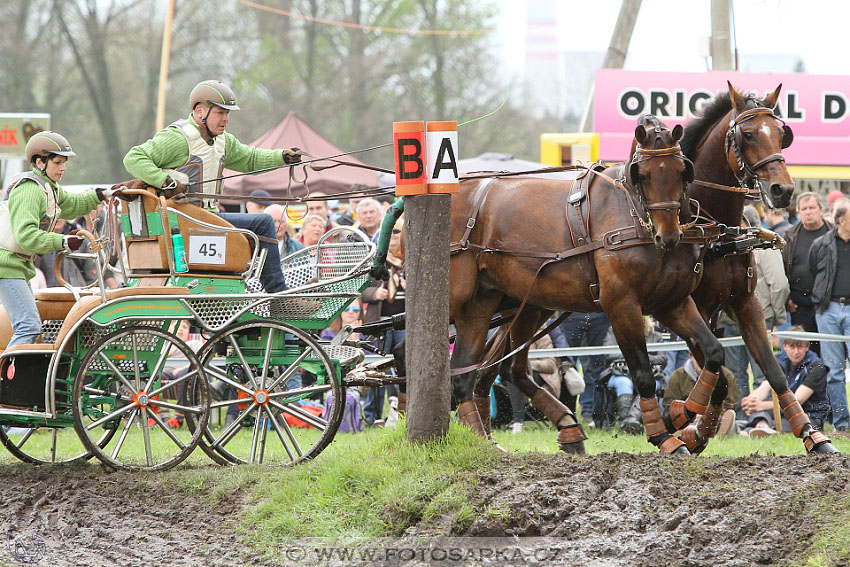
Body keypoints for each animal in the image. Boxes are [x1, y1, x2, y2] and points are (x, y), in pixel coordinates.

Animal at [450, 120, 724, 458]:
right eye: (643, 175)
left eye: (681, 171)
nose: (668, 236)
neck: (633, 213)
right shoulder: (621, 306)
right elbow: (644, 375)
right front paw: (664, 435)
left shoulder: (672, 303)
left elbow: (714, 352)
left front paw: (684, 414)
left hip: (510, 305)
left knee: (490, 370)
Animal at [680, 84, 840, 454]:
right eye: (749, 134)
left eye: (782, 135)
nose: (783, 190)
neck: (715, 232)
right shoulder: (692, 308)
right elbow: (717, 371)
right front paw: (699, 429)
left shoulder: (746, 302)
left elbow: (773, 370)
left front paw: (812, 435)